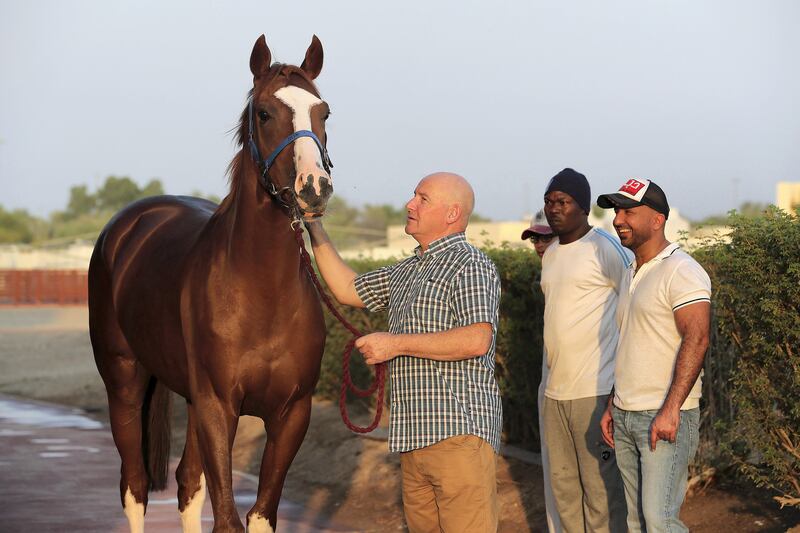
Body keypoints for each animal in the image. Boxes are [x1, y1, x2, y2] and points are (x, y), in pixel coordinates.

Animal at [89, 35, 332, 528]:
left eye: (325, 113)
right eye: (264, 113)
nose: (313, 188)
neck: (263, 293)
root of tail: (126, 226)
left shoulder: (291, 414)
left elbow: (258, 515)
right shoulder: (220, 407)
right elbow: (227, 519)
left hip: (189, 398)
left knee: (187, 485)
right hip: (124, 382)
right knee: (135, 486)